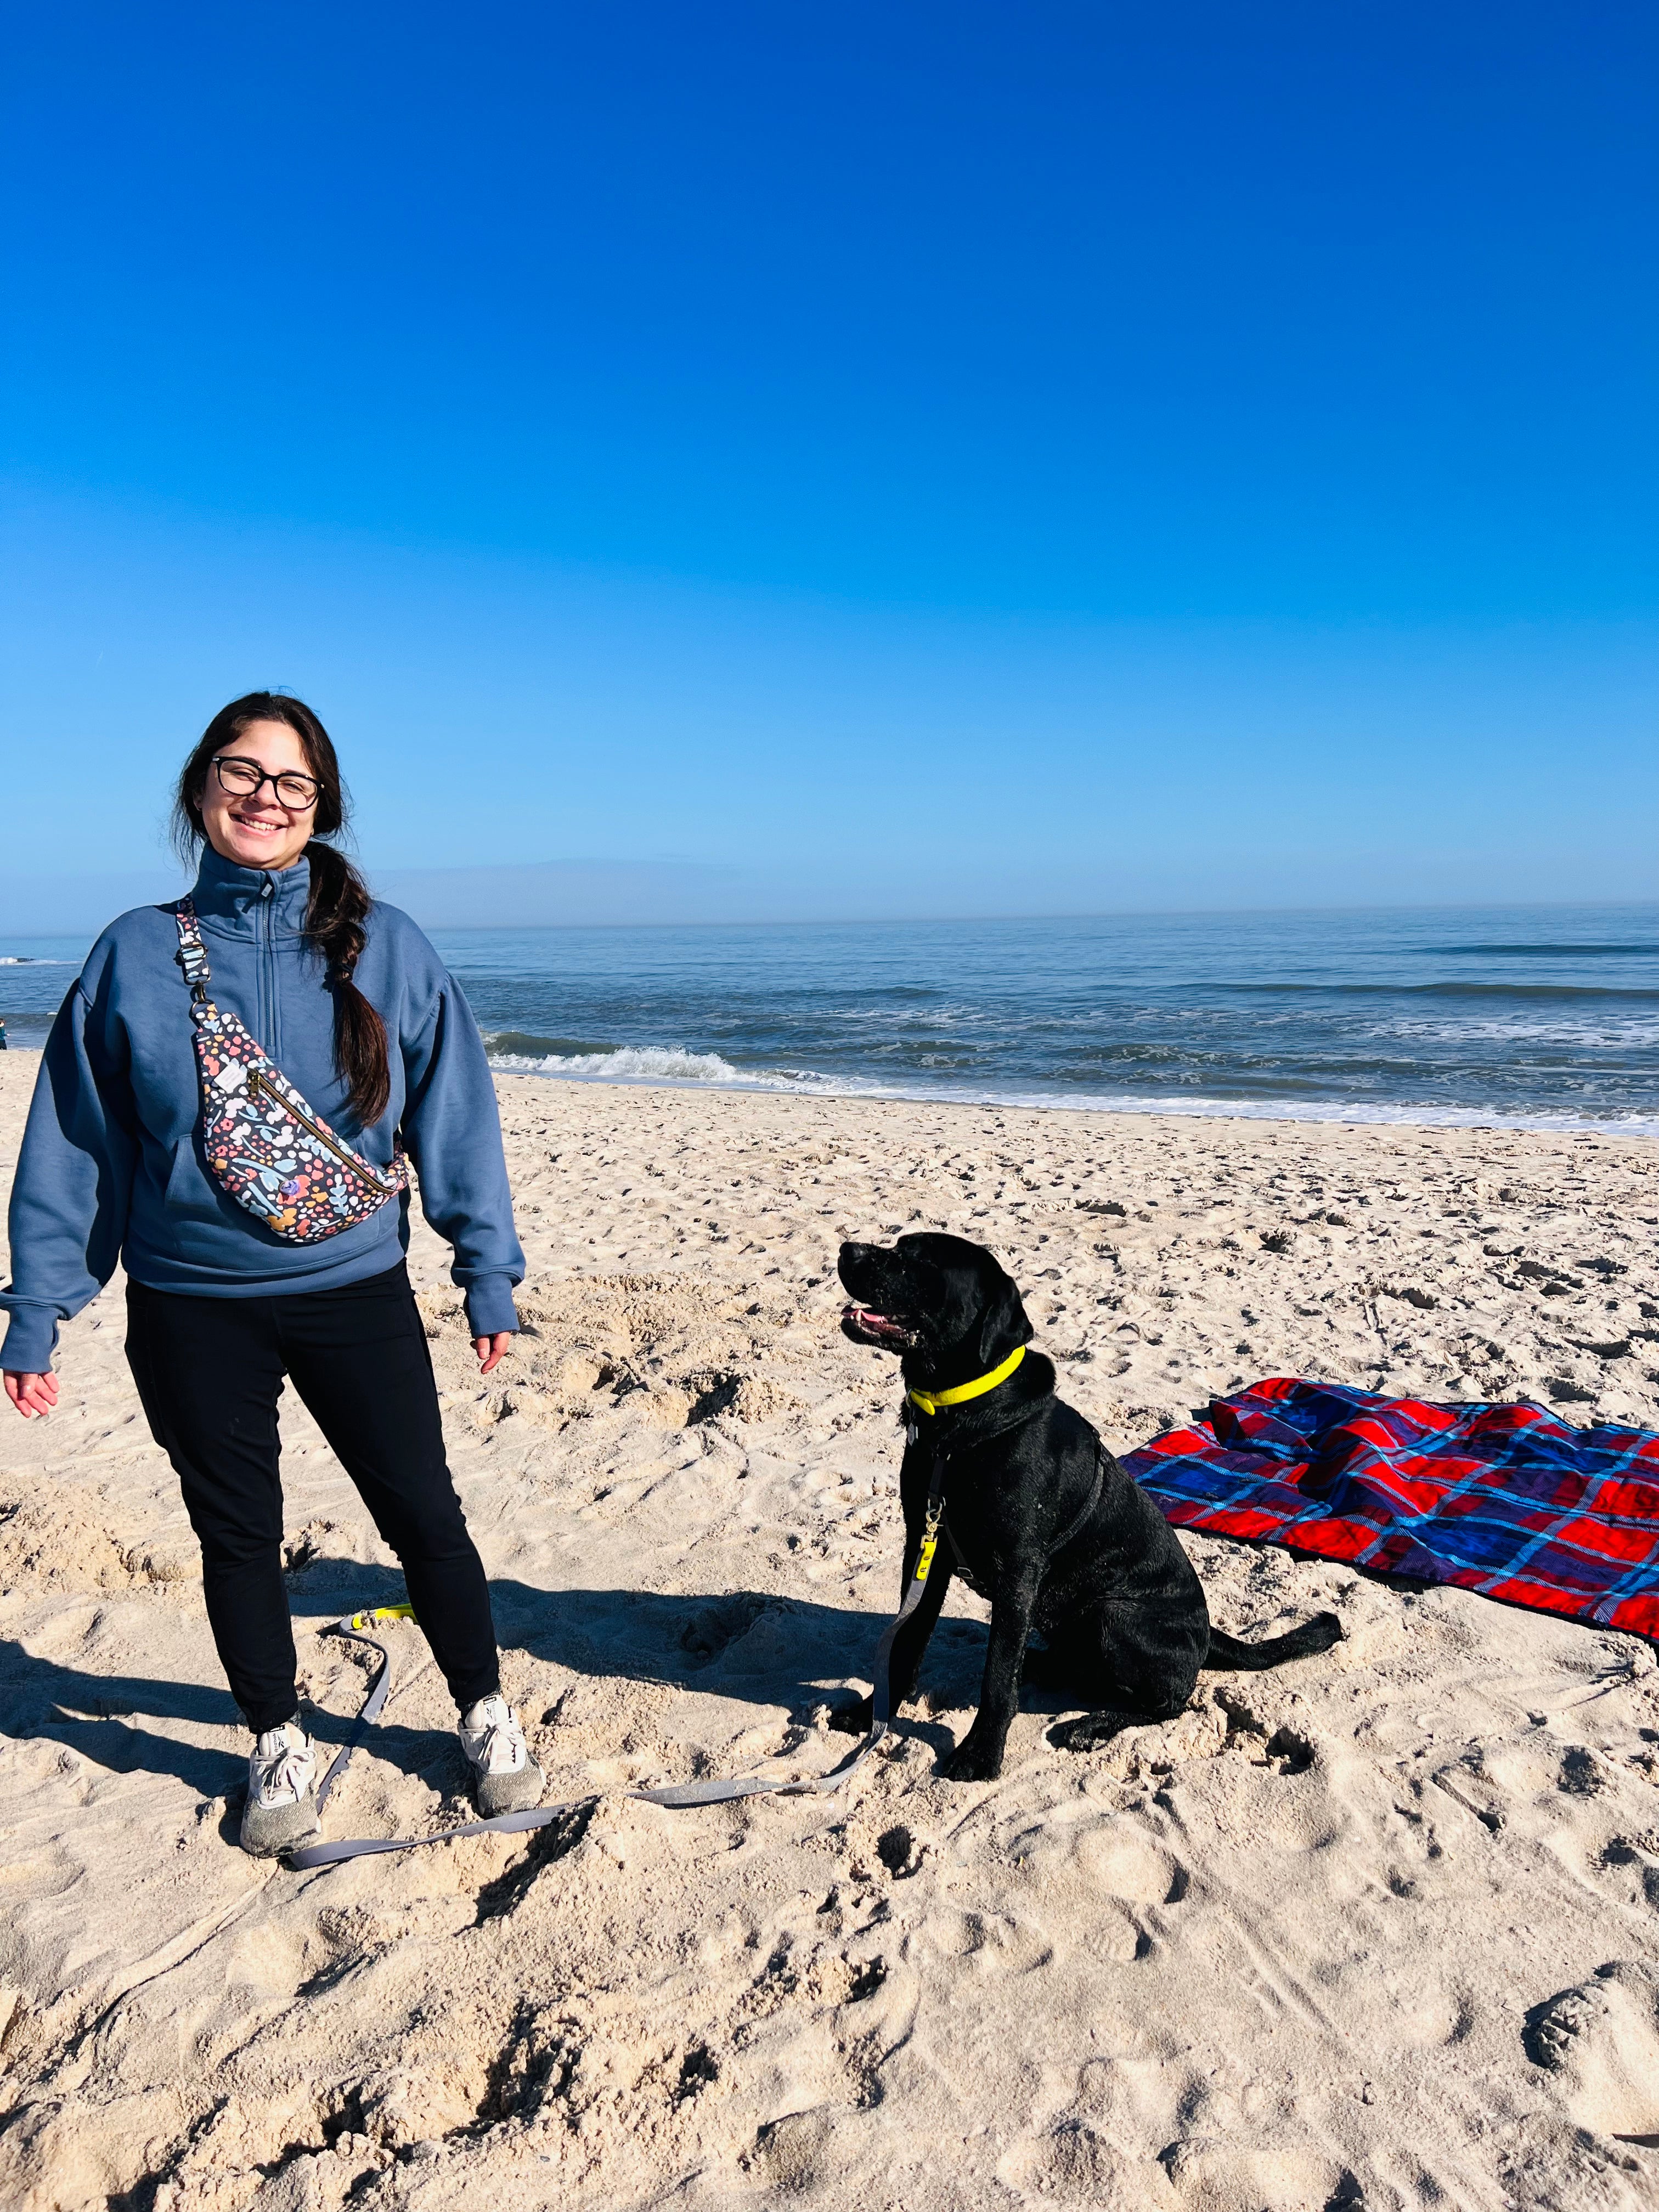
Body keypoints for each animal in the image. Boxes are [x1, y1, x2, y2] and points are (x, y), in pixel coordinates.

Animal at [836, 1229, 1345, 1778]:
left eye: (921, 1261)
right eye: (898, 1244)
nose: (846, 1250)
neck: (957, 1425)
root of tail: (1209, 1636)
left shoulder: (1018, 1569)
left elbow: (997, 1679)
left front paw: (980, 1752)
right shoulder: (925, 1544)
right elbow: (907, 1644)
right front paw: (873, 1715)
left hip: (1112, 1615)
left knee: (1170, 1703)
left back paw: (1093, 1724)